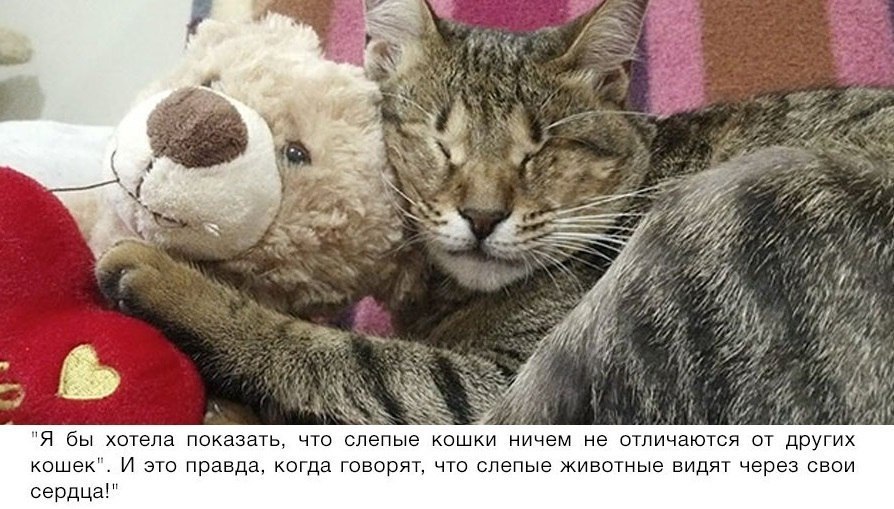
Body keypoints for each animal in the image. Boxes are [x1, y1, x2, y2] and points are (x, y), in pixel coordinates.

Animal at [96, 0, 894, 424]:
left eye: (539, 150)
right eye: (438, 141)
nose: (482, 215)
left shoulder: (483, 383)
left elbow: (340, 354)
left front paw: (171, 280)